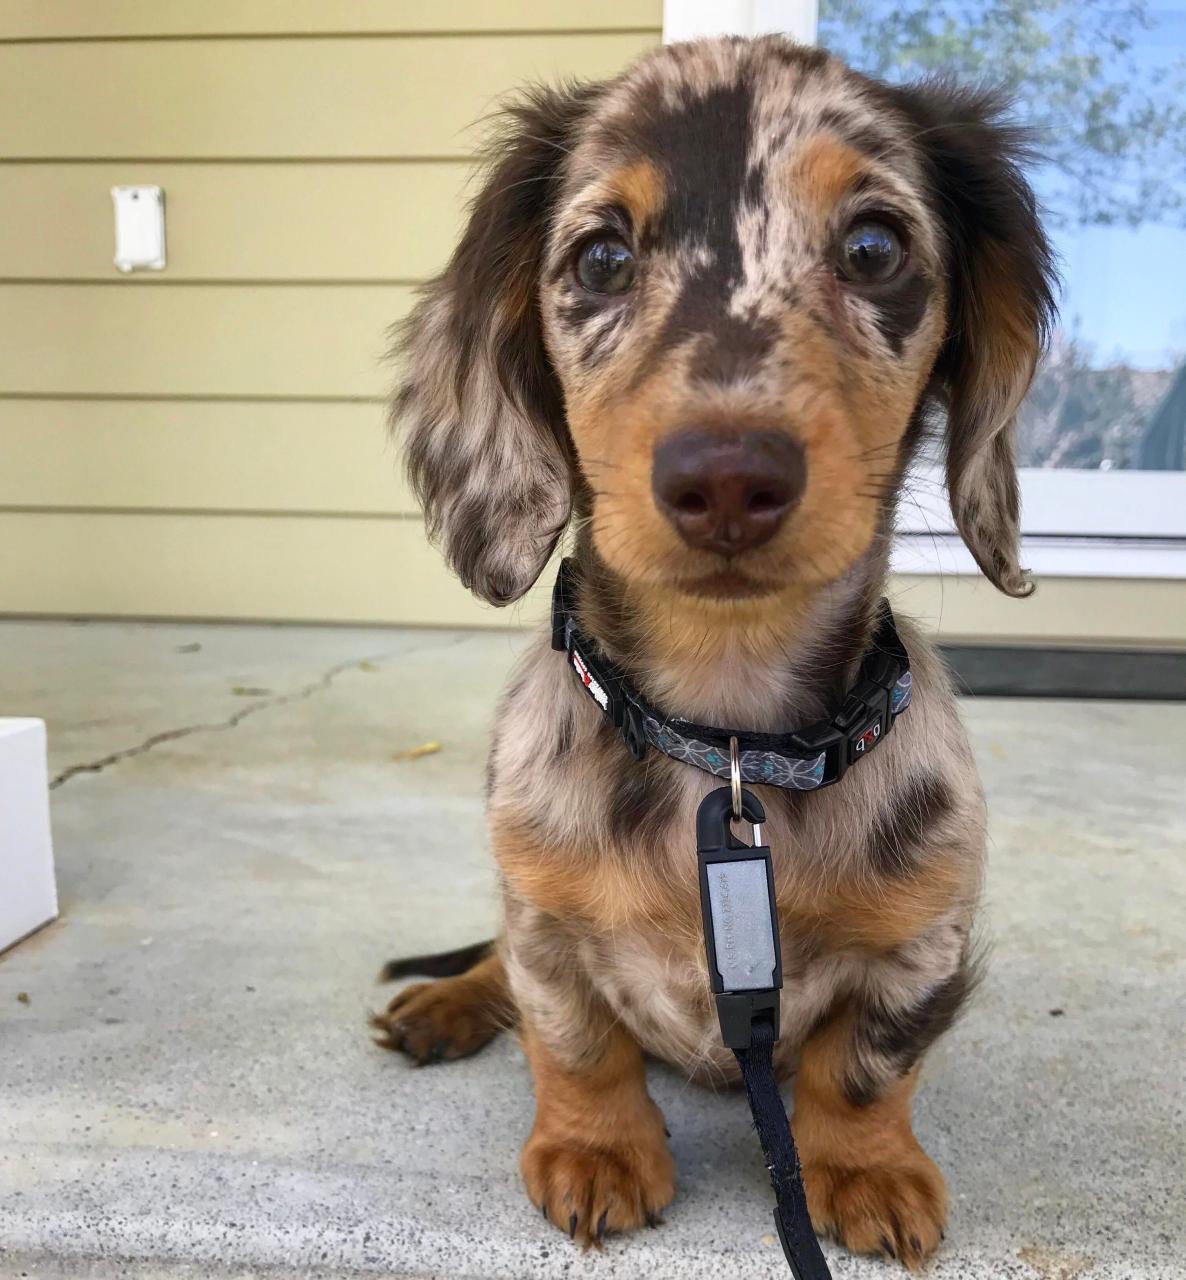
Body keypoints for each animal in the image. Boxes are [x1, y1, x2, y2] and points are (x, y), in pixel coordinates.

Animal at [373, 32, 1059, 1269]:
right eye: (600, 257)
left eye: (874, 246)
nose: (727, 477)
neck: (727, 737)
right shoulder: (542, 913)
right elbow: (571, 1033)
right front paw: (595, 1148)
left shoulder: (924, 941)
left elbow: (865, 1065)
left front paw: (868, 1167)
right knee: (493, 963)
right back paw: (444, 1004)